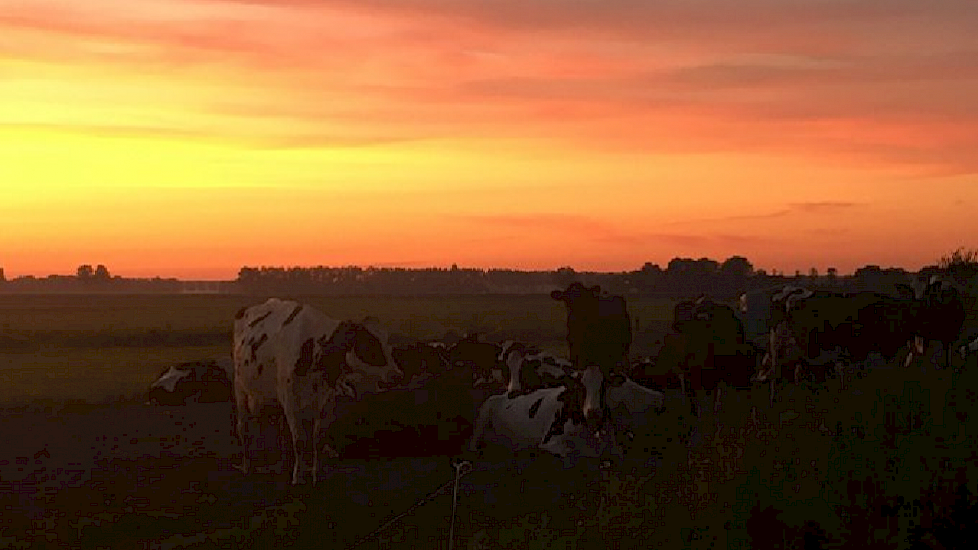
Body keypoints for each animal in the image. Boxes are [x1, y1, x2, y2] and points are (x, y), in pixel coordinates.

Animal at [234, 300, 402, 486]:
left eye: (388, 344)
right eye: (370, 344)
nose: (397, 375)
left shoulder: (326, 402)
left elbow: (317, 439)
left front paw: (316, 474)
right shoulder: (290, 402)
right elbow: (299, 441)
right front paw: (298, 477)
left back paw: (283, 465)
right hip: (240, 389)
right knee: (243, 428)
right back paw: (247, 466)